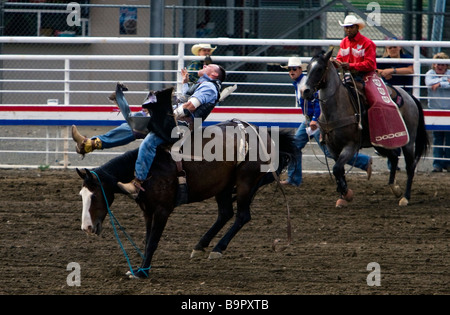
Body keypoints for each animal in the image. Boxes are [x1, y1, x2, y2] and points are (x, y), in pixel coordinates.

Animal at [76, 86, 296, 278]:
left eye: (95, 195)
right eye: (82, 196)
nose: (86, 228)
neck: (150, 168)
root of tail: (263, 134)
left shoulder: (163, 209)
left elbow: (153, 241)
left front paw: (142, 273)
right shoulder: (147, 210)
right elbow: (147, 239)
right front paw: (139, 269)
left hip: (245, 182)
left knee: (242, 216)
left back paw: (217, 249)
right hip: (223, 186)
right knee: (225, 213)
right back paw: (200, 246)